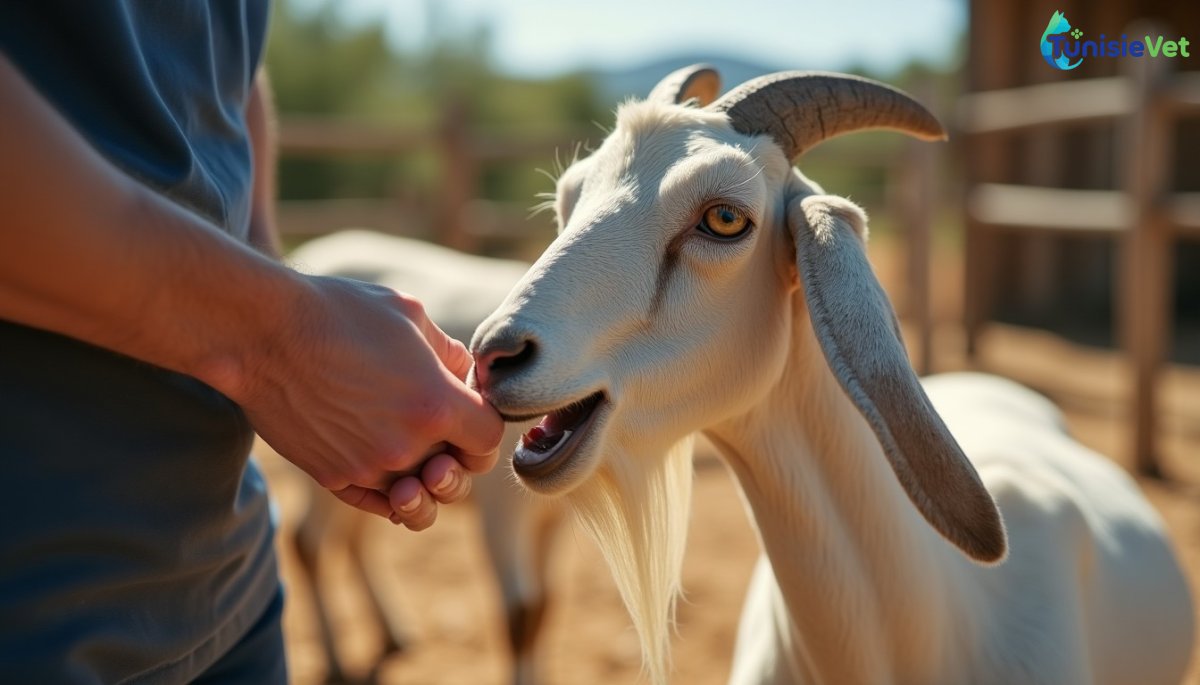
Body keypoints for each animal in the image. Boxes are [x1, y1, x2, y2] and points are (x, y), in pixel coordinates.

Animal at [285, 230, 560, 685]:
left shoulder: (557, 522)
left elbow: (545, 607)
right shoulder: (503, 507)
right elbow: (521, 613)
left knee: (354, 537)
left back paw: (392, 632)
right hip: (320, 463)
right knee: (305, 542)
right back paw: (336, 660)